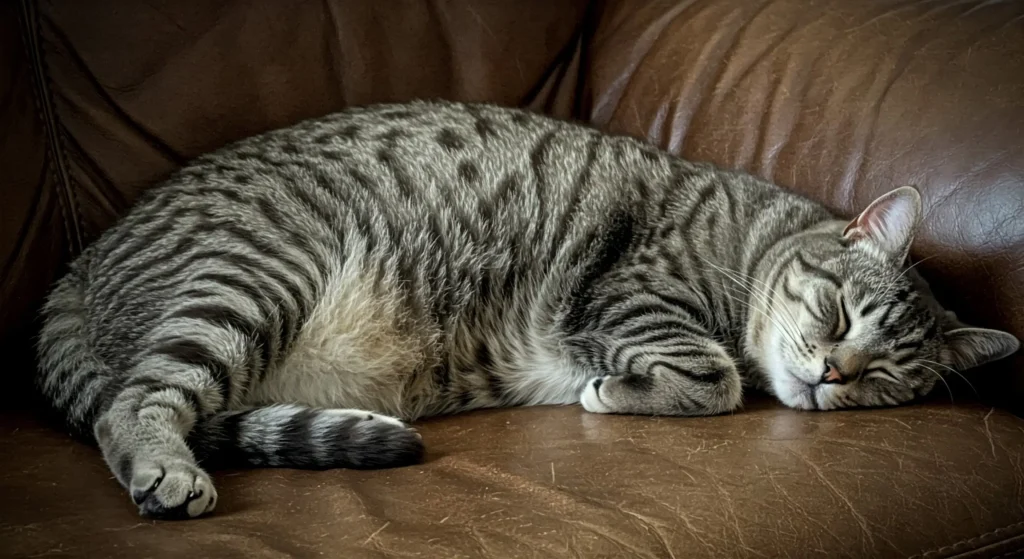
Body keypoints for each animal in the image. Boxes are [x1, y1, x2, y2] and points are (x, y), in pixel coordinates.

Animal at [36, 100, 1019, 518]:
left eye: (885, 376)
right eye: (841, 315)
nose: (833, 374)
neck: (748, 237)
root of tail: (73, 272)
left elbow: (708, 378)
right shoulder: (631, 294)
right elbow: (714, 376)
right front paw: (621, 390)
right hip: (253, 273)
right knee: (133, 405)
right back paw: (167, 471)